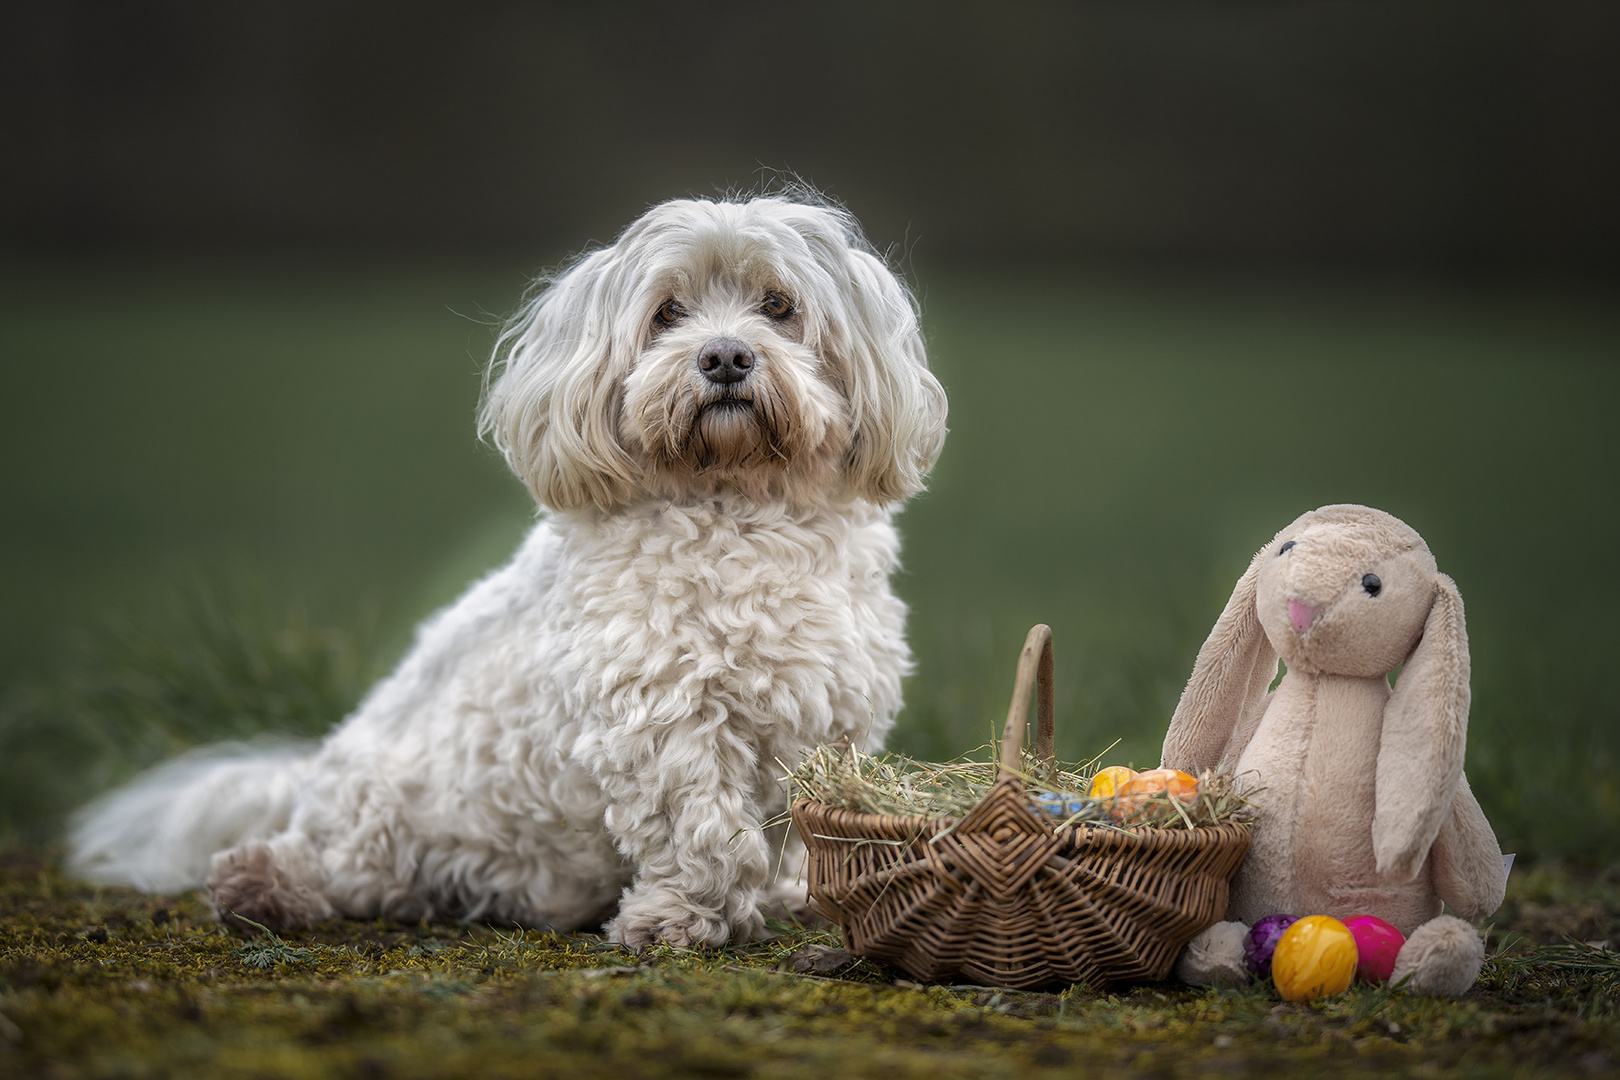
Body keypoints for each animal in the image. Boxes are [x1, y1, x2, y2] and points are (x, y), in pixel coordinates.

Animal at [66, 194, 946, 945]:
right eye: (667, 312)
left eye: (778, 306)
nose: (725, 355)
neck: (739, 505)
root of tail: (314, 769)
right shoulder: (662, 723)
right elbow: (703, 838)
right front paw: (680, 920)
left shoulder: (825, 720)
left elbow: (792, 831)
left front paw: (794, 894)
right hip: (379, 812)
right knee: (320, 860)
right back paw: (263, 884)